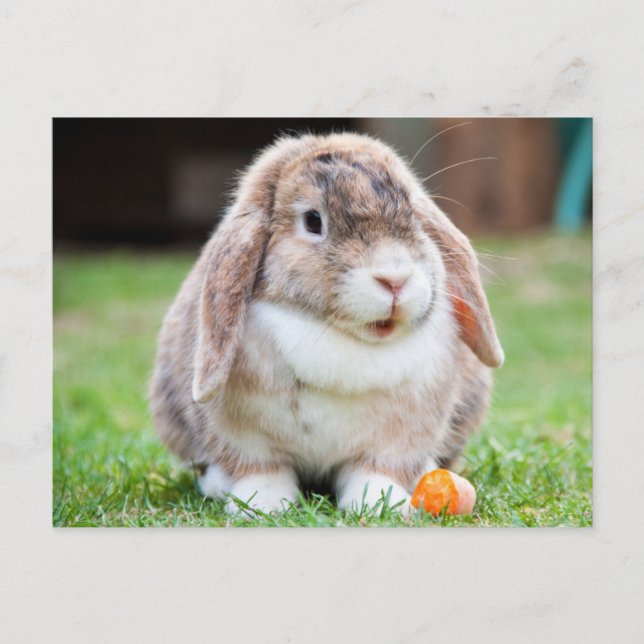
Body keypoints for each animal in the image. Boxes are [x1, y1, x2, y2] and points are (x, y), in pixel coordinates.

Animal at [149, 132, 504, 517]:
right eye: (313, 221)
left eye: (412, 213)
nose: (395, 279)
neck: (340, 336)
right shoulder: (246, 440)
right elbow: (262, 470)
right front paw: (262, 505)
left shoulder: (395, 441)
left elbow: (374, 471)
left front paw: (381, 504)